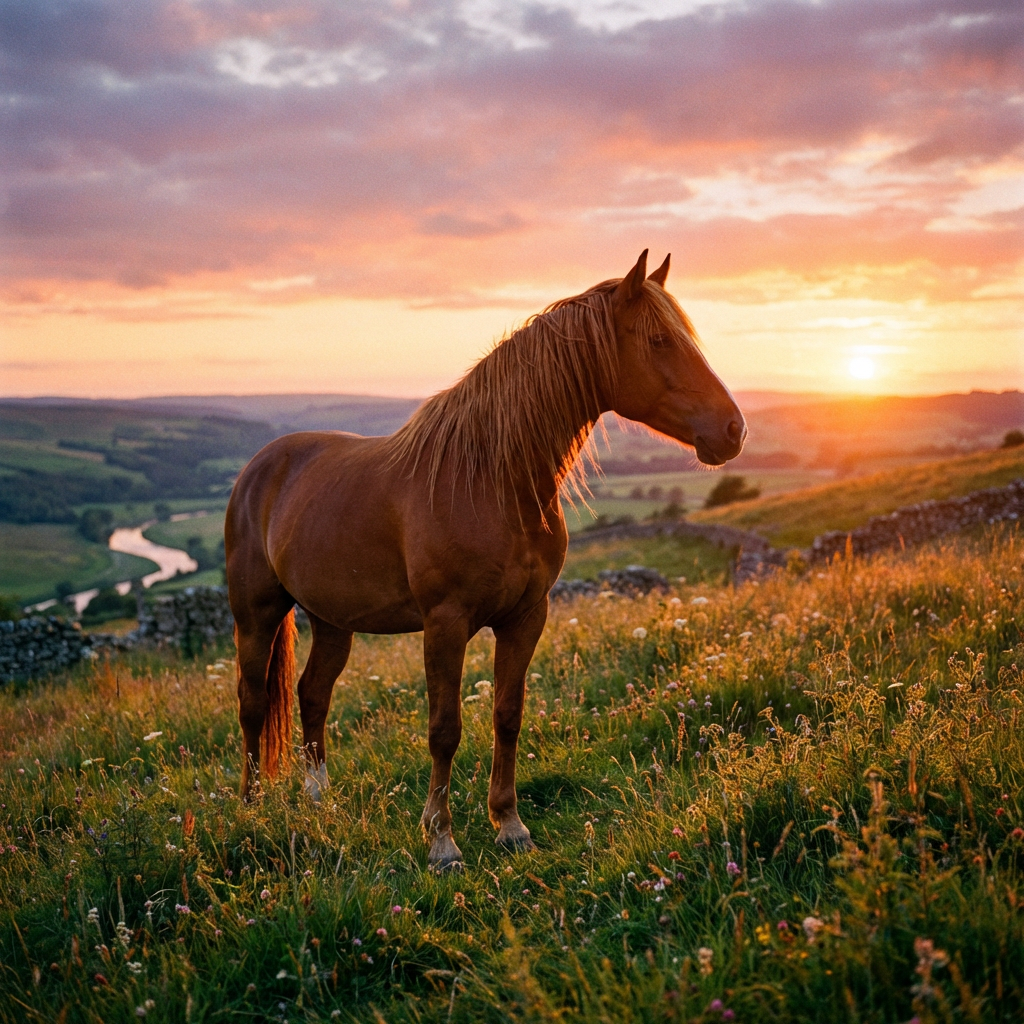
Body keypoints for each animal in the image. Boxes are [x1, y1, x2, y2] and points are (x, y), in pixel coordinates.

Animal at [224, 250, 746, 871]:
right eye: (660, 340)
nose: (734, 430)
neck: (491, 481)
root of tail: (260, 467)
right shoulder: (445, 624)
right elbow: (444, 728)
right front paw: (442, 841)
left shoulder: (525, 617)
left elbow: (507, 714)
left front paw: (510, 825)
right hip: (256, 615)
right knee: (254, 704)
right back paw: (253, 809)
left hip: (332, 621)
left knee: (312, 694)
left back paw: (318, 799)